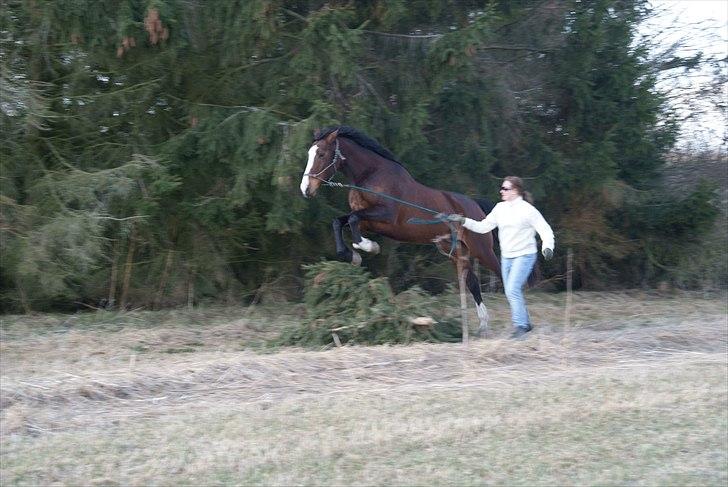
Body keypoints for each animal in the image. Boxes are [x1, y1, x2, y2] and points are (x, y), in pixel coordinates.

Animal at [298, 127, 500, 338]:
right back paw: (482, 326)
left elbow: (353, 220)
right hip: (456, 252)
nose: (305, 189)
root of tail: (475, 206)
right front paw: (352, 255)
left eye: (321, 154)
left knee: (500, 271)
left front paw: (369, 247)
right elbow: (340, 222)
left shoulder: (386, 215)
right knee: (473, 282)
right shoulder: (368, 222)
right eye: (309, 154)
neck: (371, 176)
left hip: (481, 250)